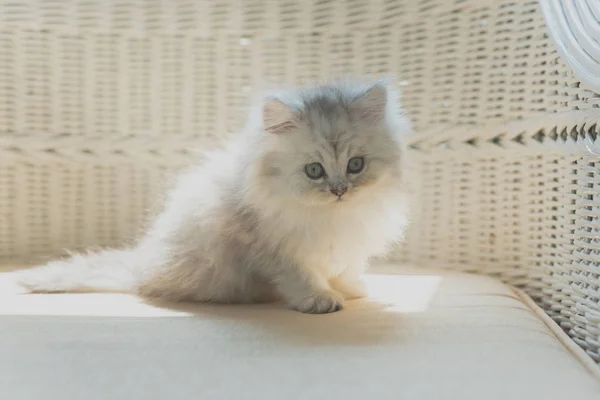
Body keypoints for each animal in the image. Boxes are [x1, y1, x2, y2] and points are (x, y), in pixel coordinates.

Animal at [17, 79, 412, 312]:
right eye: (314, 170)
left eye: (356, 165)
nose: (339, 191)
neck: (331, 217)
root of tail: (138, 270)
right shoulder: (273, 248)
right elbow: (302, 276)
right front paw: (320, 299)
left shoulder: (348, 244)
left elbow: (345, 268)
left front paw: (352, 289)